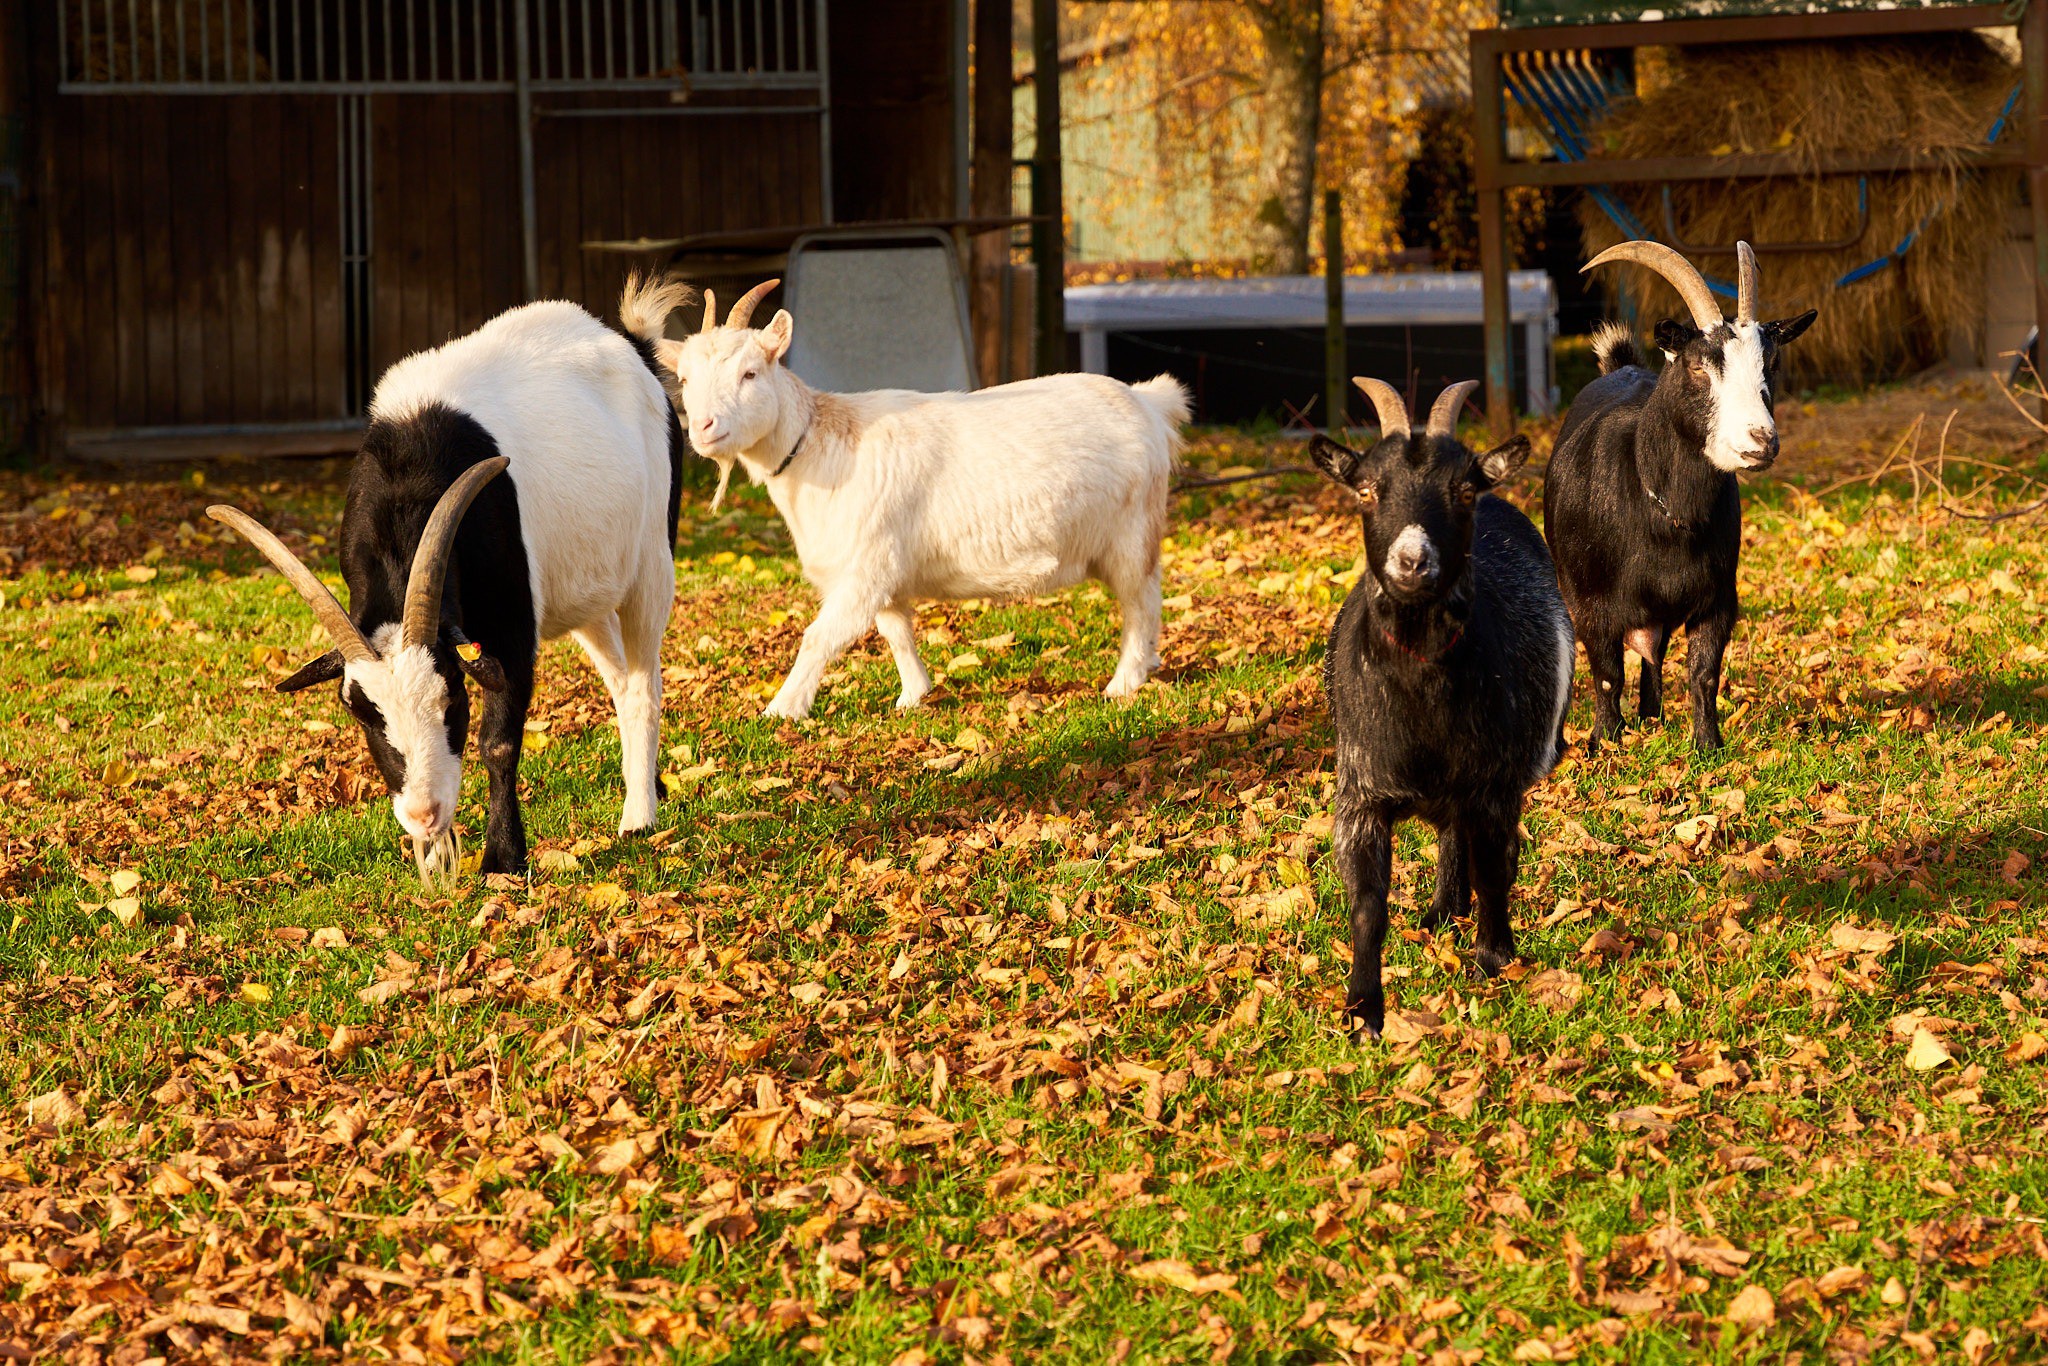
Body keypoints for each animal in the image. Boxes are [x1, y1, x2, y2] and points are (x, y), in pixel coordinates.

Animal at [208, 278, 692, 880]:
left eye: (451, 700)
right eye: (364, 714)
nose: (423, 814)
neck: (408, 473)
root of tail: (633, 346)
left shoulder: (510, 626)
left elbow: (499, 742)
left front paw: (503, 858)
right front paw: (437, 858)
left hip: (650, 564)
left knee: (645, 682)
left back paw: (639, 818)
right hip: (589, 591)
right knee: (622, 681)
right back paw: (650, 788)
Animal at [663, 282, 1196, 720]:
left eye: (750, 373)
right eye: (685, 380)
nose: (704, 428)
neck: (820, 445)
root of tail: (1149, 403)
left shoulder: (866, 568)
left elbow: (818, 637)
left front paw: (782, 709)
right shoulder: (883, 573)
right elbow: (897, 631)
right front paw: (913, 694)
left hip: (1132, 534)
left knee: (1142, 601)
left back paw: (1125, 682)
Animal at [1302, 374, 1572, 1036]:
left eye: (1464, 489)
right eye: (1367, 489)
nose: (1412, 561)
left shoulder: (1494, 783)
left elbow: (1496, 867)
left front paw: (1496, 957)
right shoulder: (1361, 793)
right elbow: (1368, 904)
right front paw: (1363, 1009)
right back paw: (1442, 913)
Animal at [1540, 240, 1818, 753]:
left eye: (1770, 365)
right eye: (1697, 366)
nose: (1761, 441)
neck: (1663, 512)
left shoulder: (1717, 597)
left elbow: (1704, 673)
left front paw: (1708, 745)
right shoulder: (1591, 604)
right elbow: (1606, 674)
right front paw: (1606, 743)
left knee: (1656, 650)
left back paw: (1651, 716)